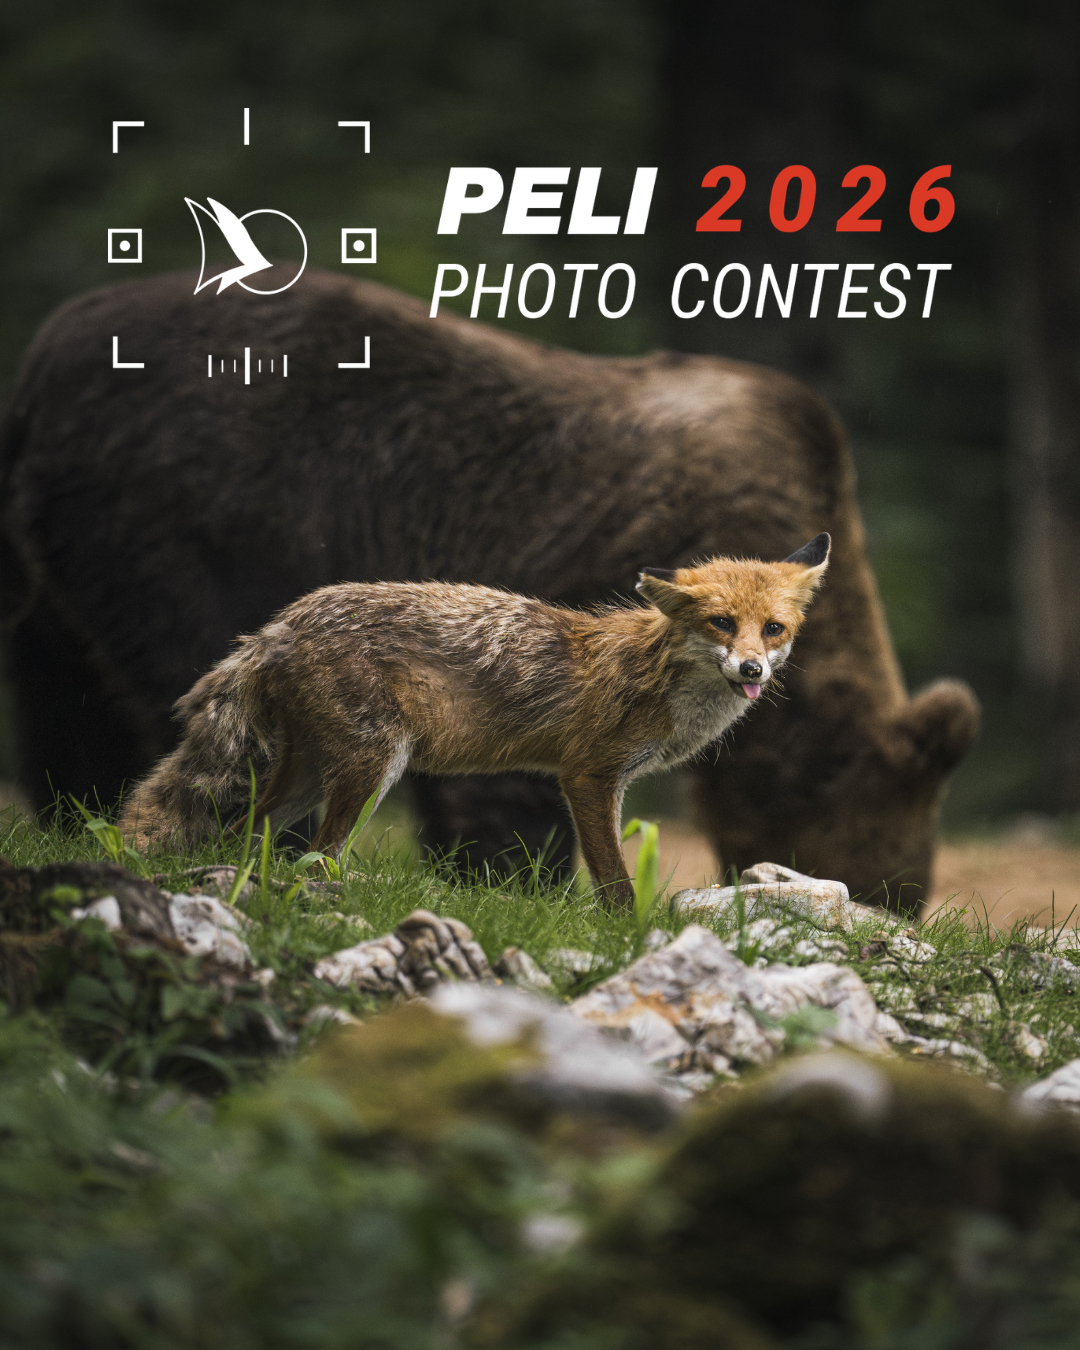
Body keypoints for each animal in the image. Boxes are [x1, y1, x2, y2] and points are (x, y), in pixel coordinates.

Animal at [118, 534, 830, 908]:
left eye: (773, 629)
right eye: (720, 623)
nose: (751, 669)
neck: (660, 679)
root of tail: (278, 624)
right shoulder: (588, 777)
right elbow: (615, 884)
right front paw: (630, 936)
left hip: (311, 777)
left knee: (243, 836)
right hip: (372, 766)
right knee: (316, 856)